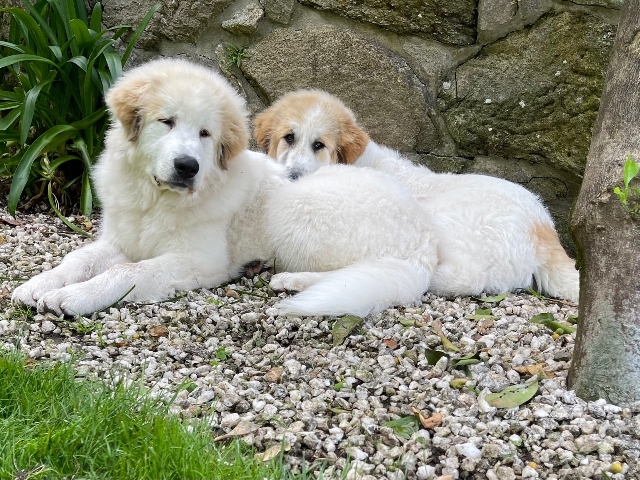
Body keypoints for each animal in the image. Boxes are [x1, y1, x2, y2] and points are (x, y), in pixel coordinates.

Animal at [11, 58, 440, 316]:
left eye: (205, 133)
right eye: (167, 122)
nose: (187, 166)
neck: (156, 200)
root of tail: (425, 234)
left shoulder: (197, 261)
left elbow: (127, 272)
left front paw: (71, 297)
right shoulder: (120, 240)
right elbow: (79, 260)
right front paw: (38, 284)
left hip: (299, 213)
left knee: (353, 273)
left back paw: (291, 280)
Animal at [254, 88, 580, 302]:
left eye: (319, 145)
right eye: (289, 138)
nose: (294, 177)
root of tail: (545, 232)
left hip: (437, 221)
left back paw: (292, 279)